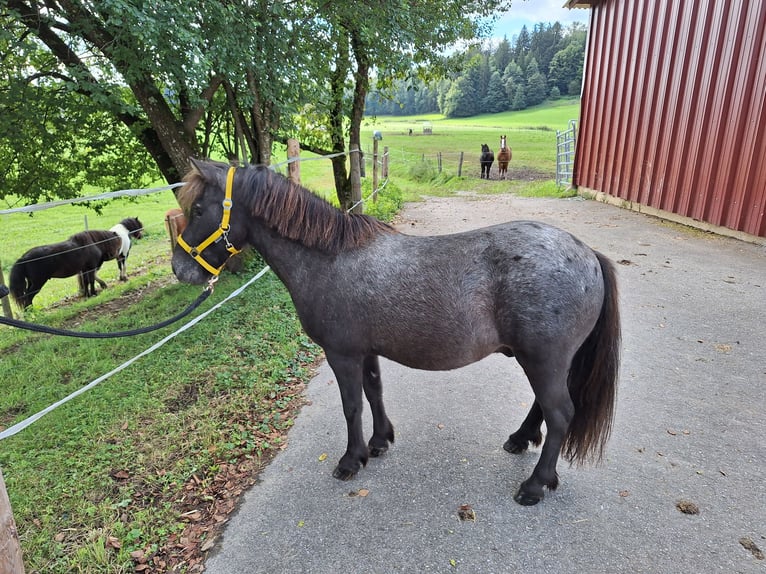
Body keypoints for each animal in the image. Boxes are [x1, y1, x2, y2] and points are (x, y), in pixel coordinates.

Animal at [9, 218, 144, 310]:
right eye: (139, 226)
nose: (141, 236)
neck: (93, 243)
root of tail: (24, 258)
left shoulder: (85, 269)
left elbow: (87, 281)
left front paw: (89, 294)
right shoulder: (94, 267)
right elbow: (92, 280)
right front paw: (94, 293)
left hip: (32, 282)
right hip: (38, 282)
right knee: (28, 296)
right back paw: (30, 311)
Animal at [171, 160, 620, 506]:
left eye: (198, 209)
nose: (181, 269)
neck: (329, 259)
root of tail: (588, 254)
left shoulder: (342, 354)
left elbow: (352, 405)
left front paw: (351, 460)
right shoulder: (365, 351)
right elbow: (374, 392)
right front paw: (379, 441)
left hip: (543, 360)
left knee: (559, 413)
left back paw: (535, 485)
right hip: (542, 361)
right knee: (544, 407)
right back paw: (521, 440)